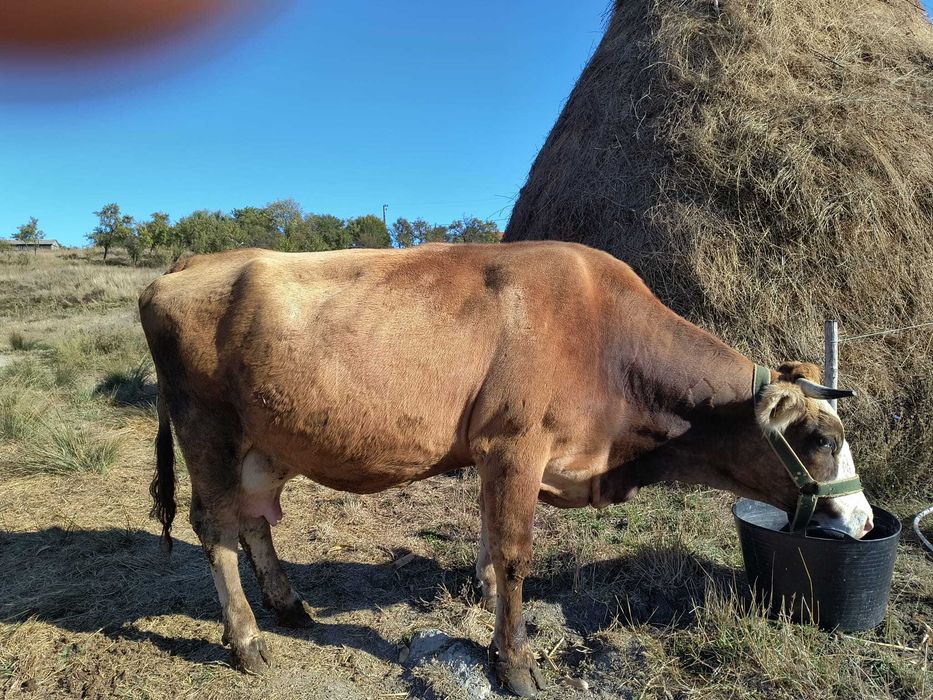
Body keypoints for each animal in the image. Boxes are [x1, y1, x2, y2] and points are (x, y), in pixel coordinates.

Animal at [139, 241, 872, 697]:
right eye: (818, 436)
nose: (865, 521)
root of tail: (192, 262)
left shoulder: (499, 458)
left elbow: (493, 543)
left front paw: (489, 603)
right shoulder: (517, 447)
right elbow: (517, 555)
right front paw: (512, 661)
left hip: (265, 442)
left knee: (255, 519)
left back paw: (289, 606)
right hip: (206, 428)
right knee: (215, 526)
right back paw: (245, 640)